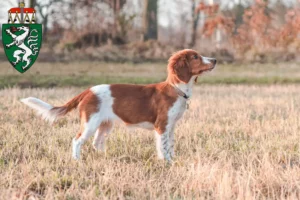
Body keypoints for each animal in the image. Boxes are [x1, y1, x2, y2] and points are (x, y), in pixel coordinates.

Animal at [21, 49, 217, 162]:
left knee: (96, 143)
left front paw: (173, 161)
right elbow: (163, 147)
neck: (176, 89)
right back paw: (77, 161)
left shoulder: (171, 126)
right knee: (77, 140)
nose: (215, 60)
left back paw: (106, 158)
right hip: (90, 123)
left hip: (105, 124)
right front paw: (166, 163)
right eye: (195, 57)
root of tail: (87, 91)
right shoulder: (161, 126)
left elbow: (171, 146)